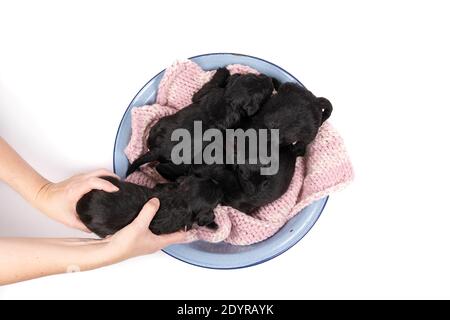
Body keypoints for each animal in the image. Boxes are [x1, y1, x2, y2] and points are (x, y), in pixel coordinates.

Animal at [126, 68, 274, 176]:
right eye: (263, 94)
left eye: (254, 75)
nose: (269, 79)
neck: (229, 99)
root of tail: (158, 150)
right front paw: (224, 70)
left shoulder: (206, 93)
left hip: (159, 126)